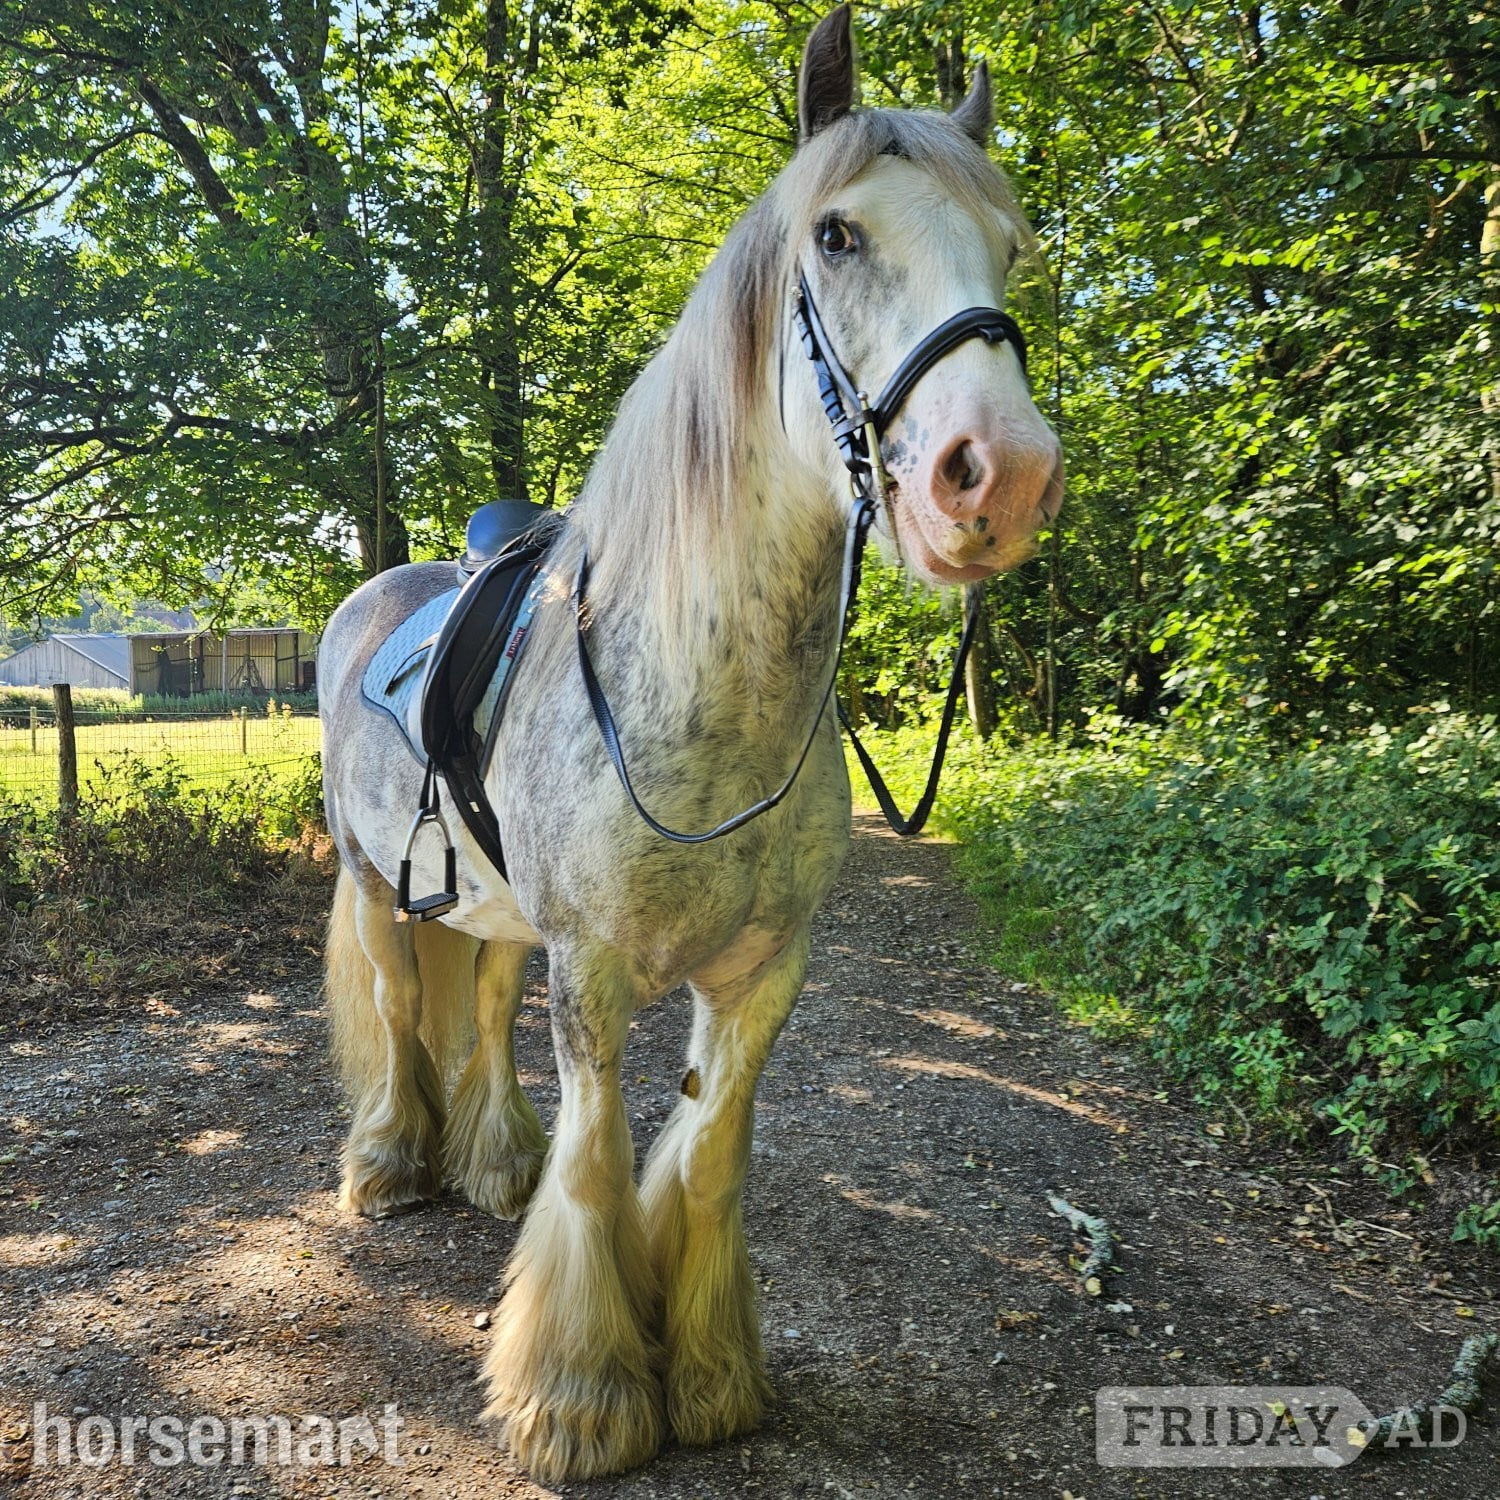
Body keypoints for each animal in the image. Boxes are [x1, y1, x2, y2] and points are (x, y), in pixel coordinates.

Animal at [316, 6, 1063, 1482]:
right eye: (836, 234)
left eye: (1009, 247)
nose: (999, 476)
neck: (700, 703)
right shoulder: (595, 972)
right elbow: (601, 1162)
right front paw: (583, 1402)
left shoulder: (766, 973)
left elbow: (706, 1153)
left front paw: (710, 1378)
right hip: (380, 889)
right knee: (395, 1009)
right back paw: (390, 1169)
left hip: (500, 921)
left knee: (478, 1014)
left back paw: (490, 1164)